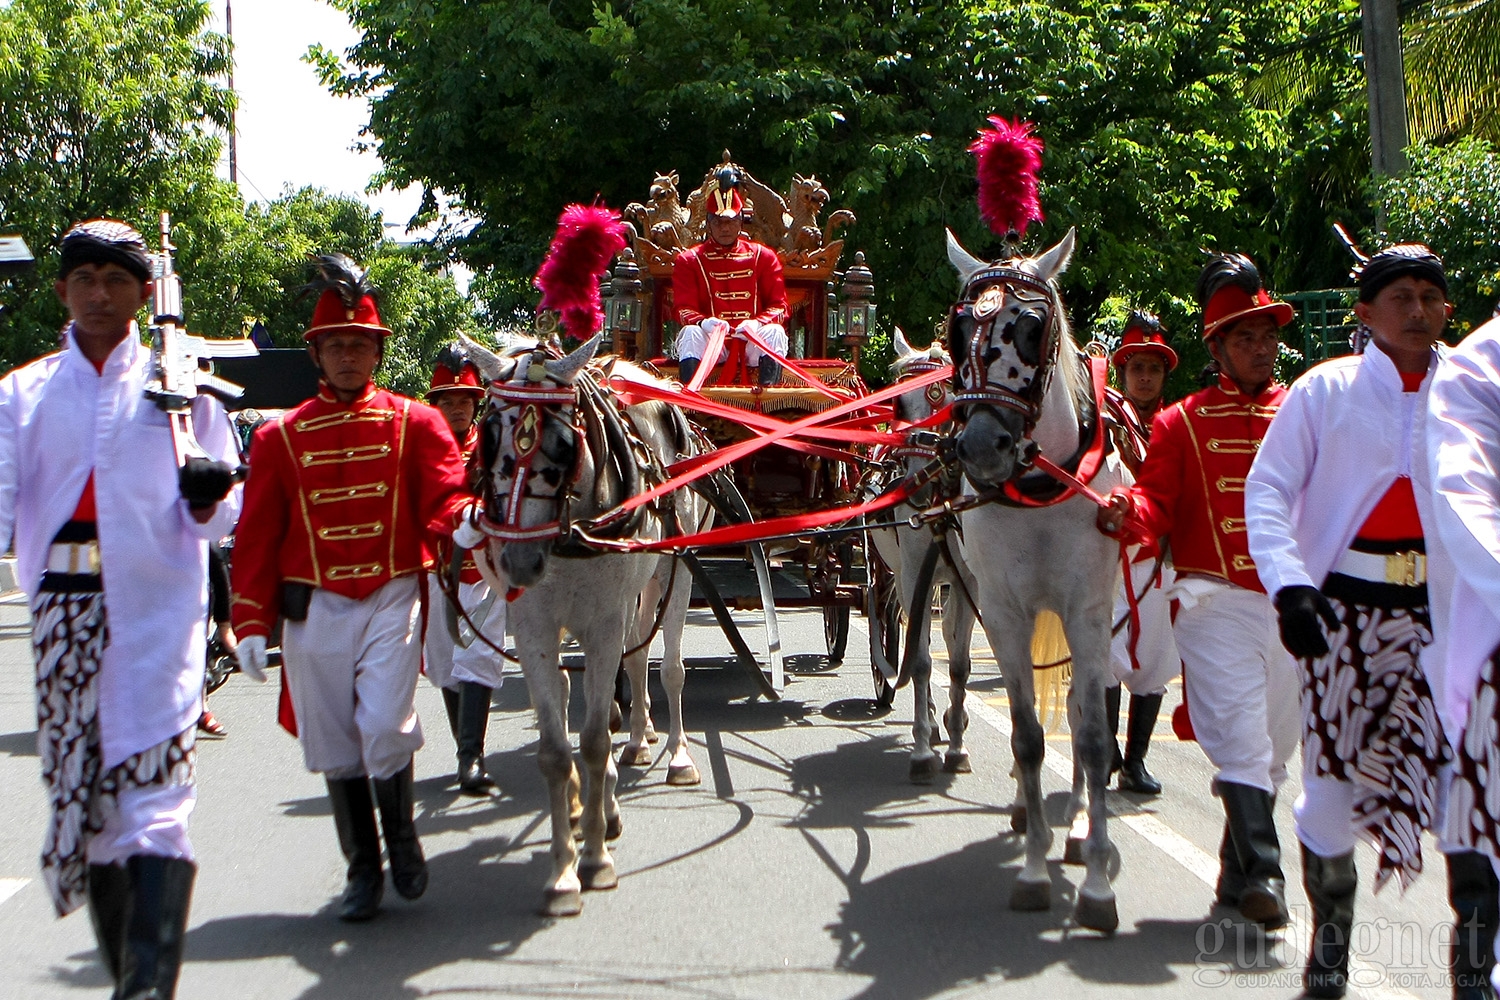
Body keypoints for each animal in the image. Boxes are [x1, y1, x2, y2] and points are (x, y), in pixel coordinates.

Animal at [465, 332, 705, 917]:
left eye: (561, 442)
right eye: (488, 437)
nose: (520, 560)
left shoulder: (604, 620)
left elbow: (595, 739)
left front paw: (594, 859)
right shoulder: (532, 626)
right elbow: (557, 749)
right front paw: (563, 872)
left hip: (673, 571)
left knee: (667, 667)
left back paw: (675, 755)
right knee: (619, 670)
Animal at [864, 328, 978, 779]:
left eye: (947, 398)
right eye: (899, 403)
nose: (915, 482)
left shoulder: (967, 583)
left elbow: (959, 661)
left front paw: (958, 745)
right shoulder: (915, 577)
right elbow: (921, 660)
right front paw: (923, 750)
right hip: (901, 575)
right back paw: (927, 715)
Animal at [942, 226, 1122, 929]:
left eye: (1032, 327)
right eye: (960, 328)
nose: (980, 447)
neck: (1044, 486)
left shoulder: (1089, 614)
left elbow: (1093, 736)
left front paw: (1095, 879)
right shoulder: (1004, 613)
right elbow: (1025, 737)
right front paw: (1034, 869)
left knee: (1077, 712)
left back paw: (1077, 825)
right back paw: (1030, 812)